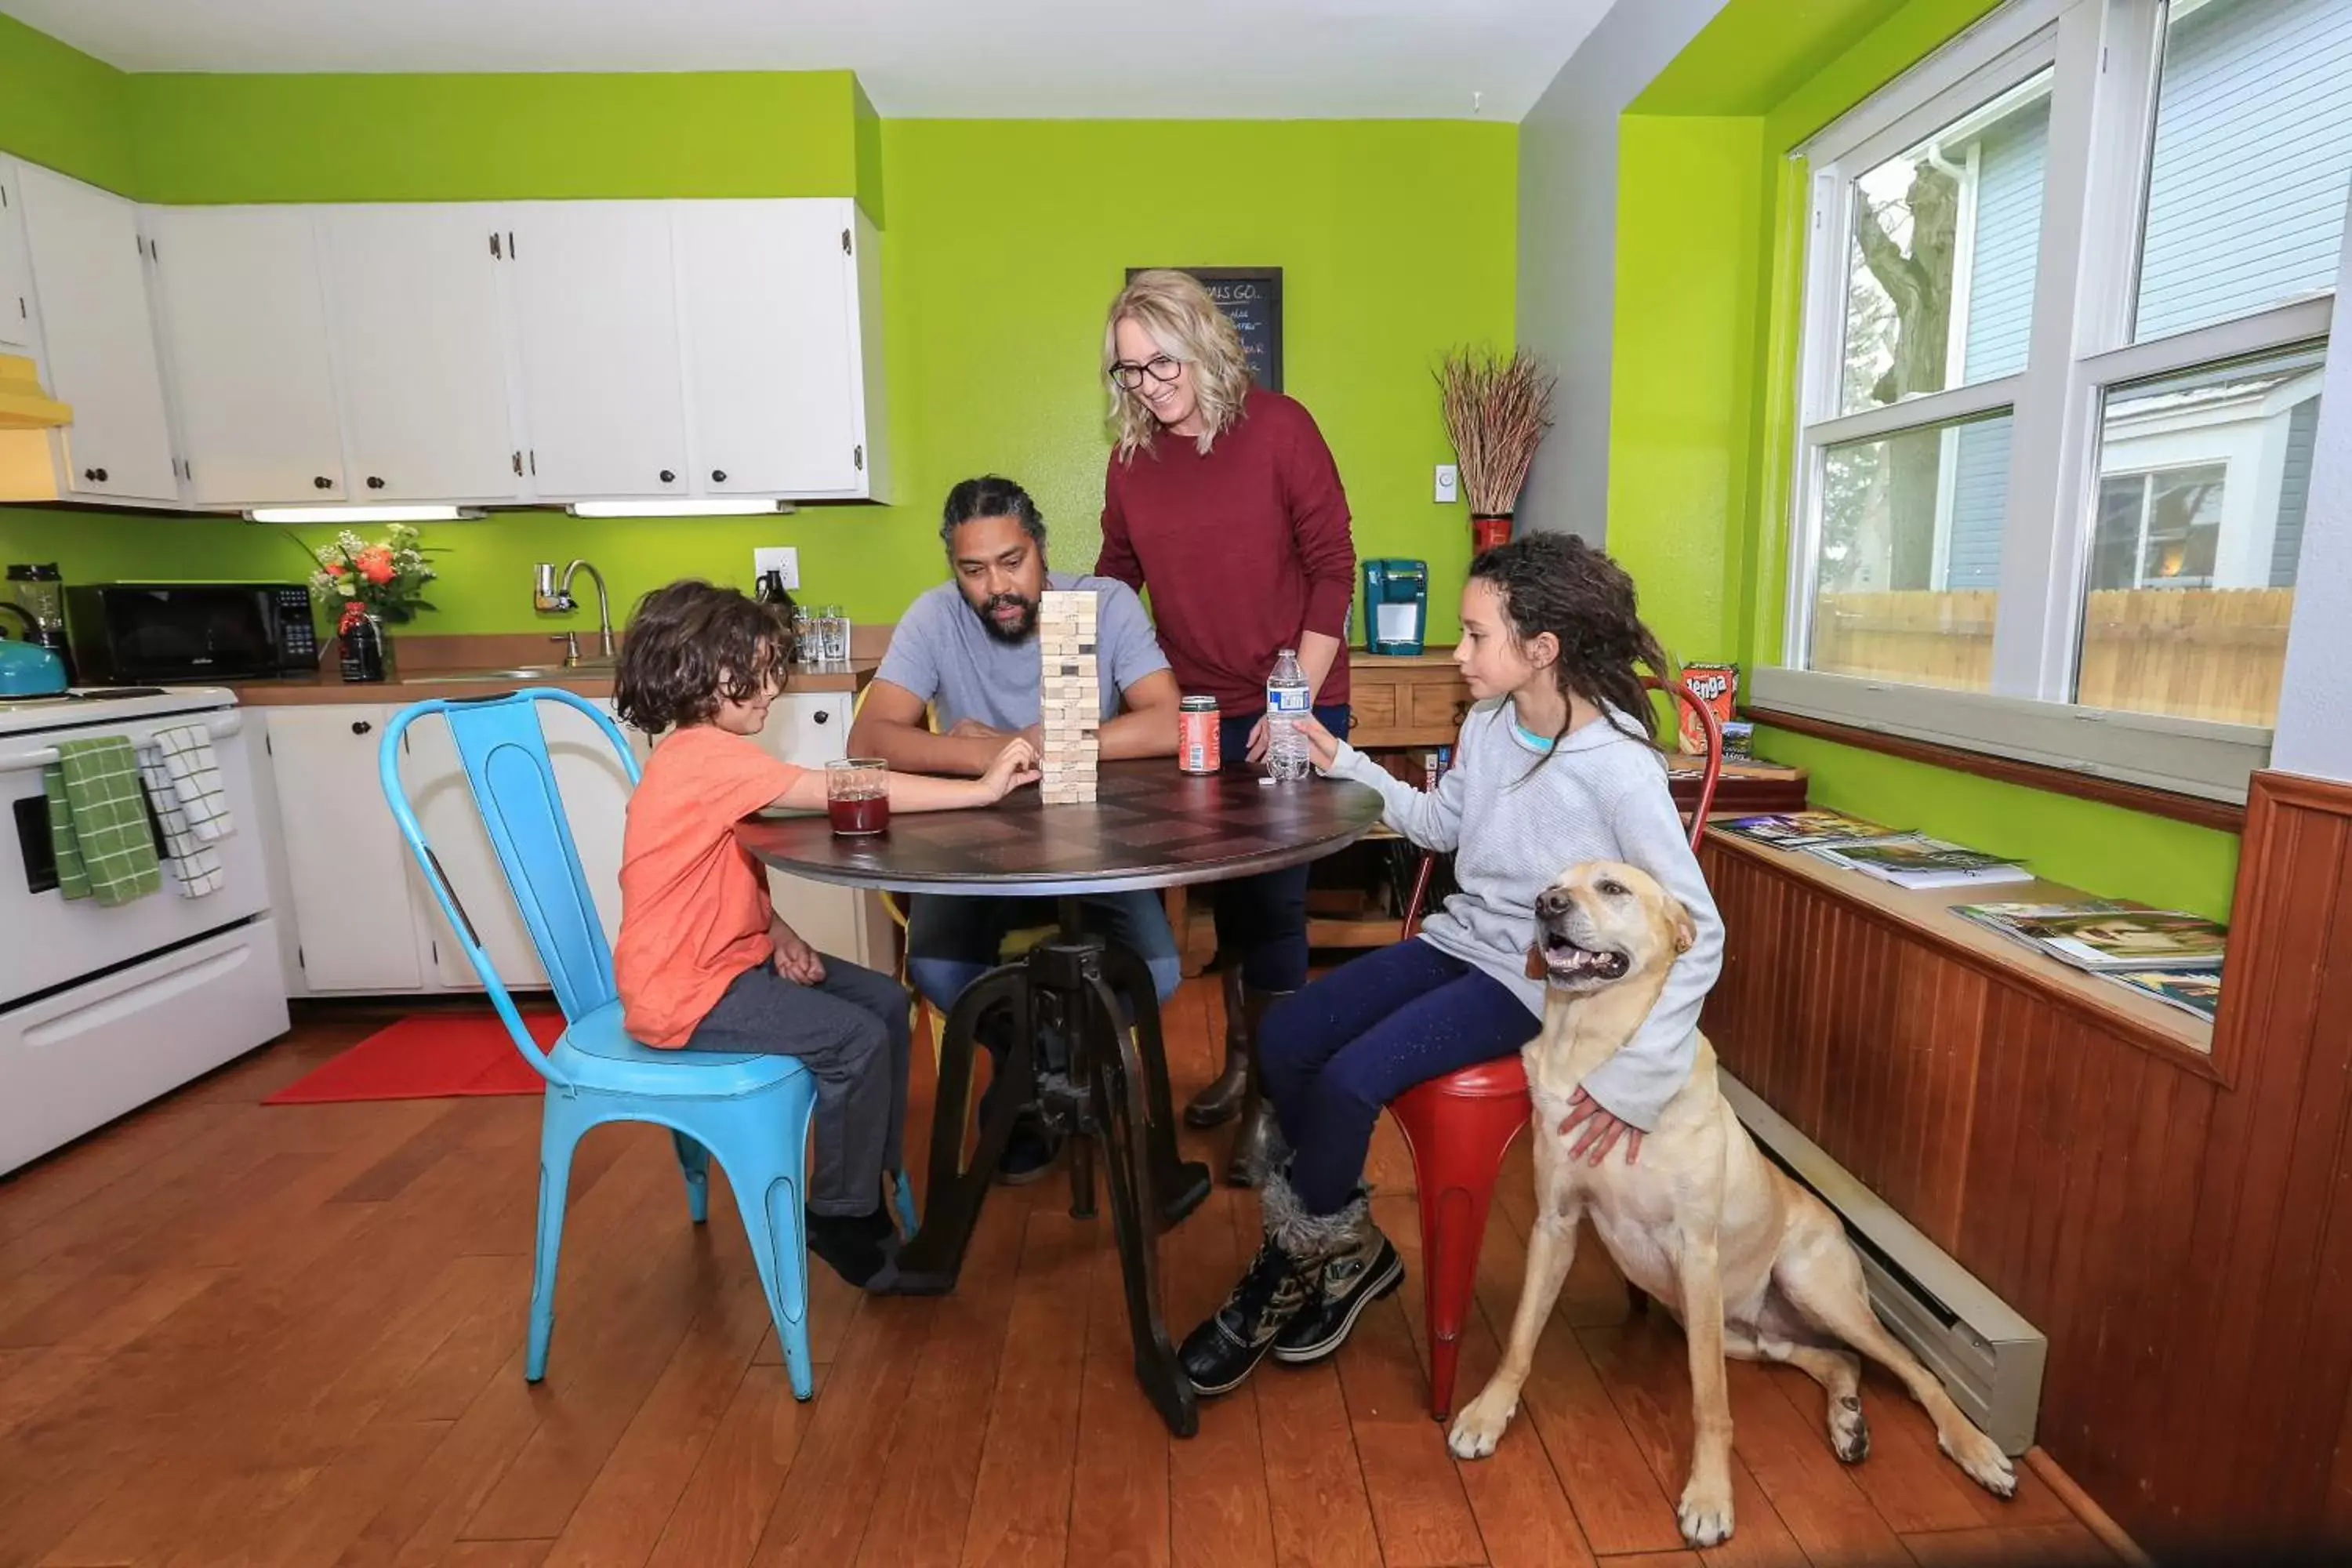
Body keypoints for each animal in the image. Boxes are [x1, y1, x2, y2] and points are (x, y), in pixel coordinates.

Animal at [1439, 865, 2013, 1552]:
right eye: (1554, 883)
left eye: (1612, 888)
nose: (1544, 903)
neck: (1594, 1049)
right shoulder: (1555, 1225)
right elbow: (1522, 1335)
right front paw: (1487, 1413)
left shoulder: (1696, 1256)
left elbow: (1710, 1403)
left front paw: (1710, 1497)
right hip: (1742, 1332)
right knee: (1837, 1359)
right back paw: (1848, 1421)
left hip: (1804, 1290)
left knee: (1917, 1371)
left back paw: (1977, 1450)